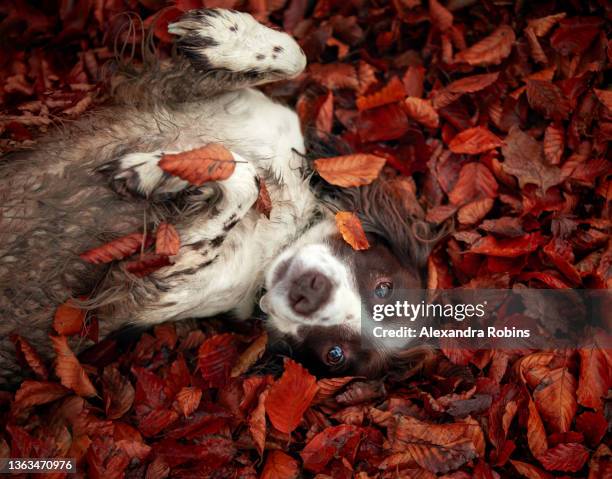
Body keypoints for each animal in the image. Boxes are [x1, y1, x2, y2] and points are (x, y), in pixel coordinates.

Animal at [0, 7, 430, 384]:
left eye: (335, 354)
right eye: (382, 287)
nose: (310, 291)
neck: (285, 217)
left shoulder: (148, 290)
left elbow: (241, 184)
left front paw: (152, 173)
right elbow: (296, 55)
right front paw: (223, 36)